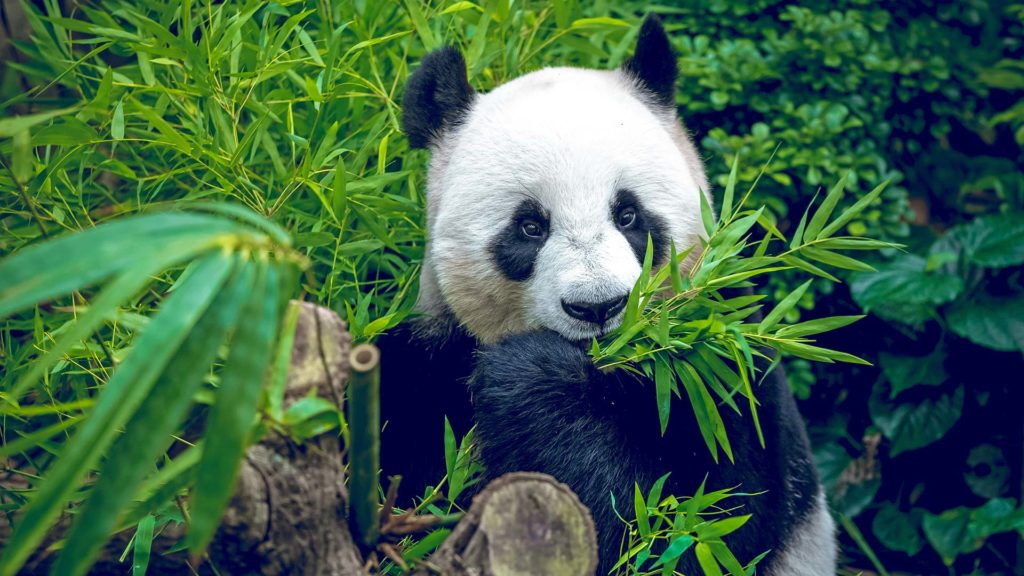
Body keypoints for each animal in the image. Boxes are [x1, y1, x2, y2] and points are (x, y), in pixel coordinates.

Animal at [380, 14, 835, 573]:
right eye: (530, 226)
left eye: (629, 214)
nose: (598, 306)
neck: (608, 369)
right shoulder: (424, 371)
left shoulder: (722, 377)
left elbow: (693, 528)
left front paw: (530, 376)